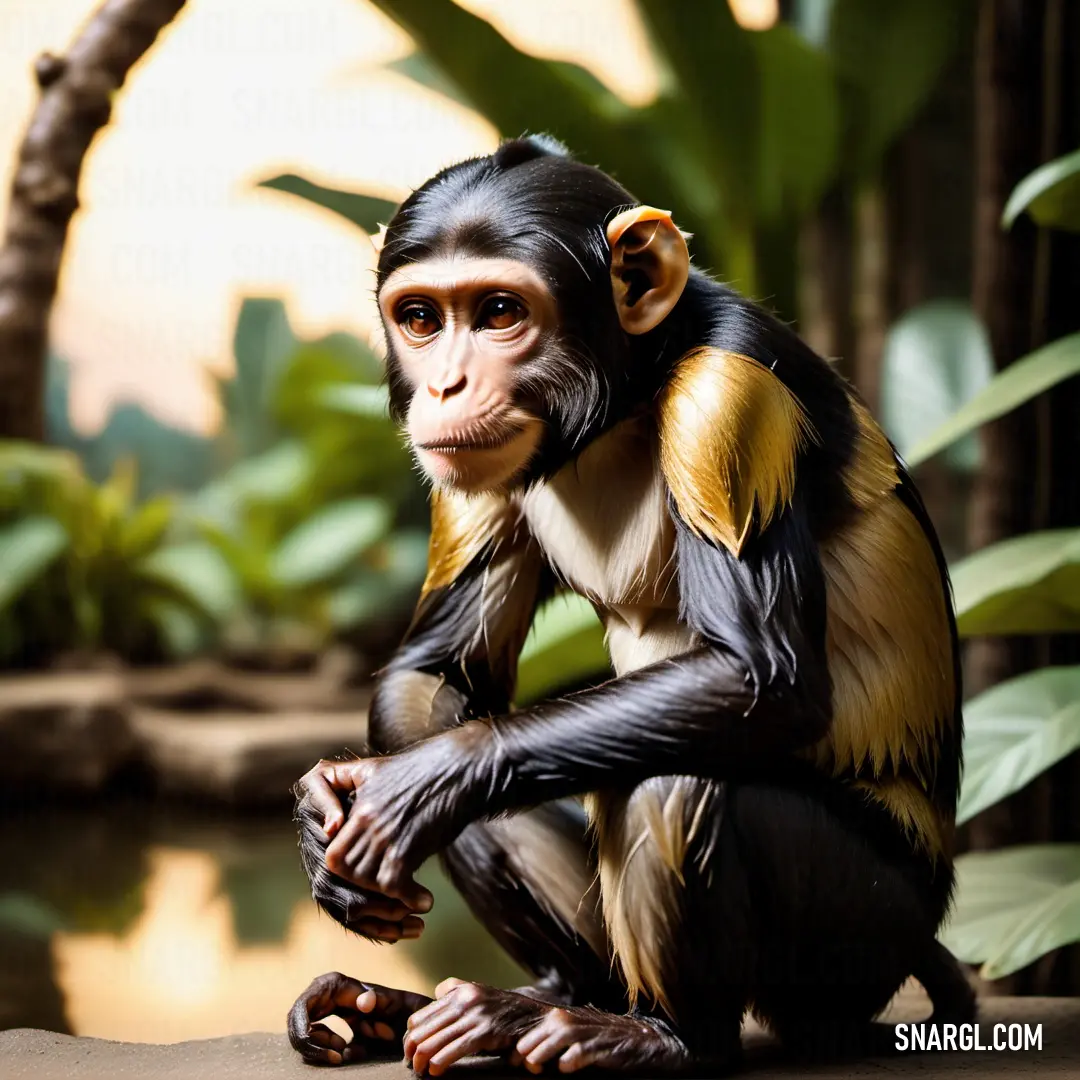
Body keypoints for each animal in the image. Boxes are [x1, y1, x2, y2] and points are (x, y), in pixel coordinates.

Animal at [282, 135, 976, 1071]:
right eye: (421, 318)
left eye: (499, 311)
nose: (447, 385)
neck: (627, 392)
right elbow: (435, 674)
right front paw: (328, 808)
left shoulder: (729, 402)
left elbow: (758, 676)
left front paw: (418, 786)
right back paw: (486, 1007)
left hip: (862, 932)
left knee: (674, 780)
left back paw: (657, 1037)